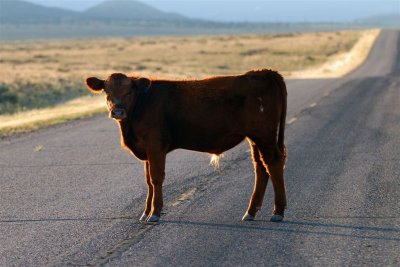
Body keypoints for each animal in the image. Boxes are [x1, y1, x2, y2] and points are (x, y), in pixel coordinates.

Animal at [86, 69, 288, 224]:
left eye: (129, 92)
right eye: (107, 92)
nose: (117, 111)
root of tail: (263, 72)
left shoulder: (155, 146)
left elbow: (156, 178)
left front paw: (155, 213)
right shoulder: (146, 150)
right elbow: (148, 181)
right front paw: (145, 212)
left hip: (264, 136)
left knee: (273, 164)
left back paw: (278, 212)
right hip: (255, 138)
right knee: (260, 167)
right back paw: (251, 212)